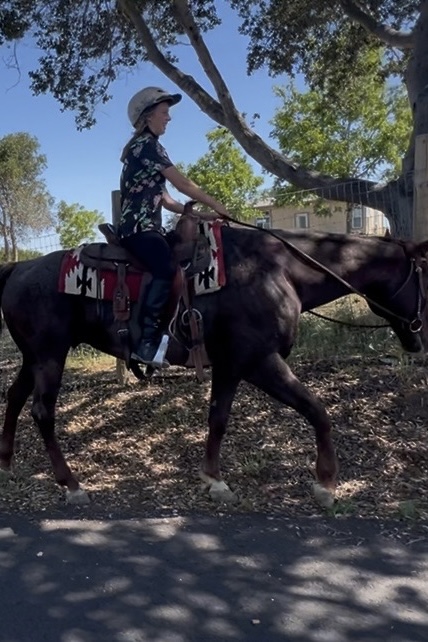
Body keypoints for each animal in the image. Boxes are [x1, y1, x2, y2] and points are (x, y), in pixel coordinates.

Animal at [0, 222, 427, 509]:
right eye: (427, 276)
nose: (418, 339)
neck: (280, 271)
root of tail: (19, 268)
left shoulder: (230, 365)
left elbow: (218, 418)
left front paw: (214, 480)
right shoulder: (261, 361)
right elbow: (317, 410)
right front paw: (326, 483)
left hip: (33, 358)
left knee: (15, 397)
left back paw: (6, 464)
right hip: (50, 355)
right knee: (42, 411)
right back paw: (71, 484)